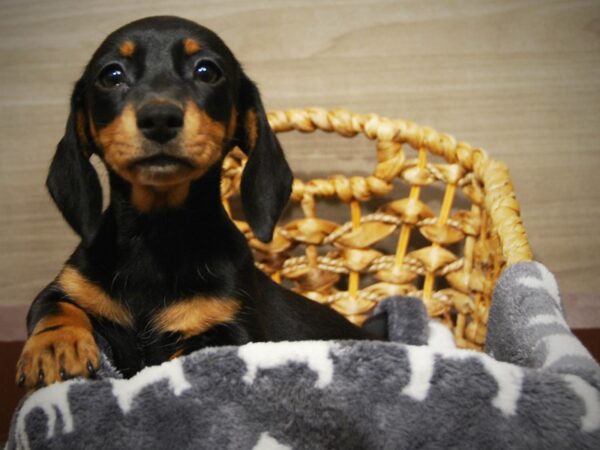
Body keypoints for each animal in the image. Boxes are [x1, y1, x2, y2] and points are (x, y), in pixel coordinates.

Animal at [15, 16, 370, 390]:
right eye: (111, 75)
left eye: (207, 71)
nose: (159, 118)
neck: (156, 233)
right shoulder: (66, 287)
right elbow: (57, 306)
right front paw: (56, 346)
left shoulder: (230, 330)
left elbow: (185, 356)